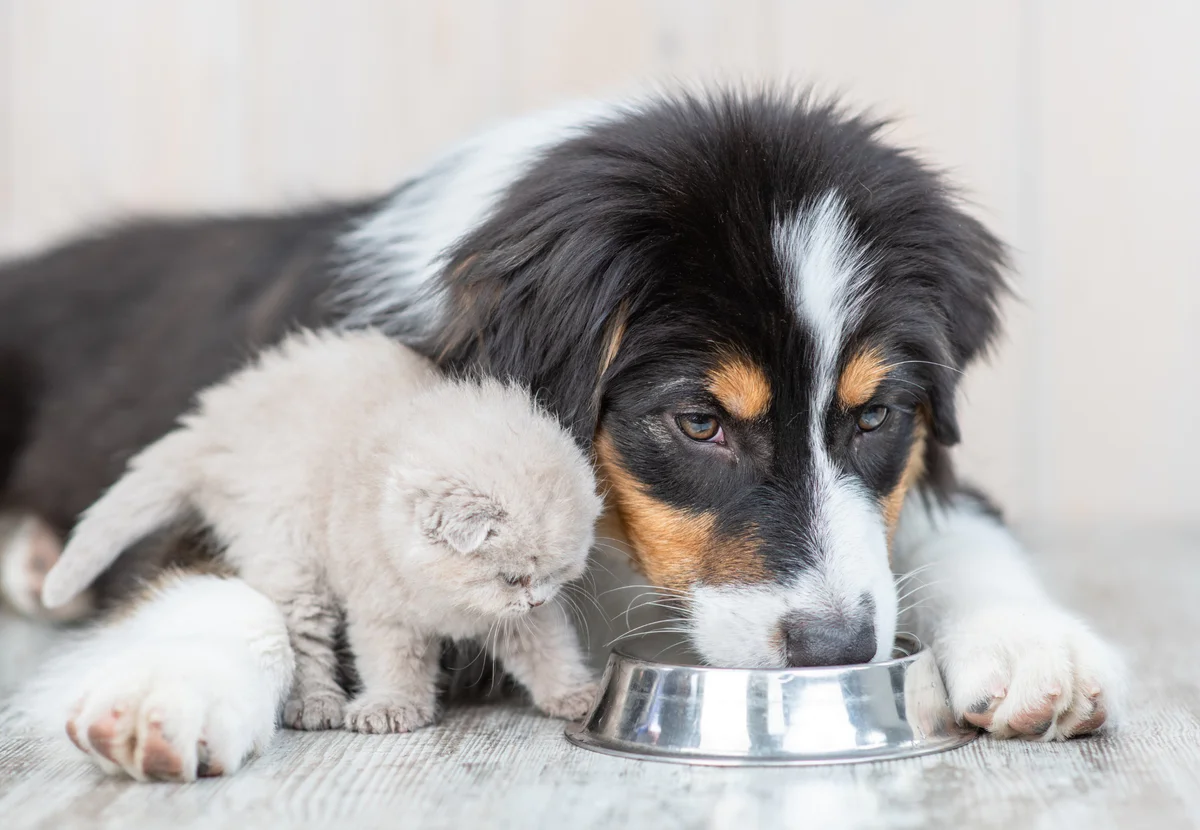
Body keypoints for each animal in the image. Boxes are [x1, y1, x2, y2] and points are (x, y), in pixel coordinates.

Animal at [42, 331, 604, 734]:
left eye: (557, 577)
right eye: (512, 578)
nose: (534, 598)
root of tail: (212, 426)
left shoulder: (519, 622)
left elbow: (549, 651)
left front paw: (575, 695)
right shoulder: (382, 611)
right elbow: (392, 663)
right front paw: (392, 707)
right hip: (288, 553)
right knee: (303, 638)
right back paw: (316, 703)